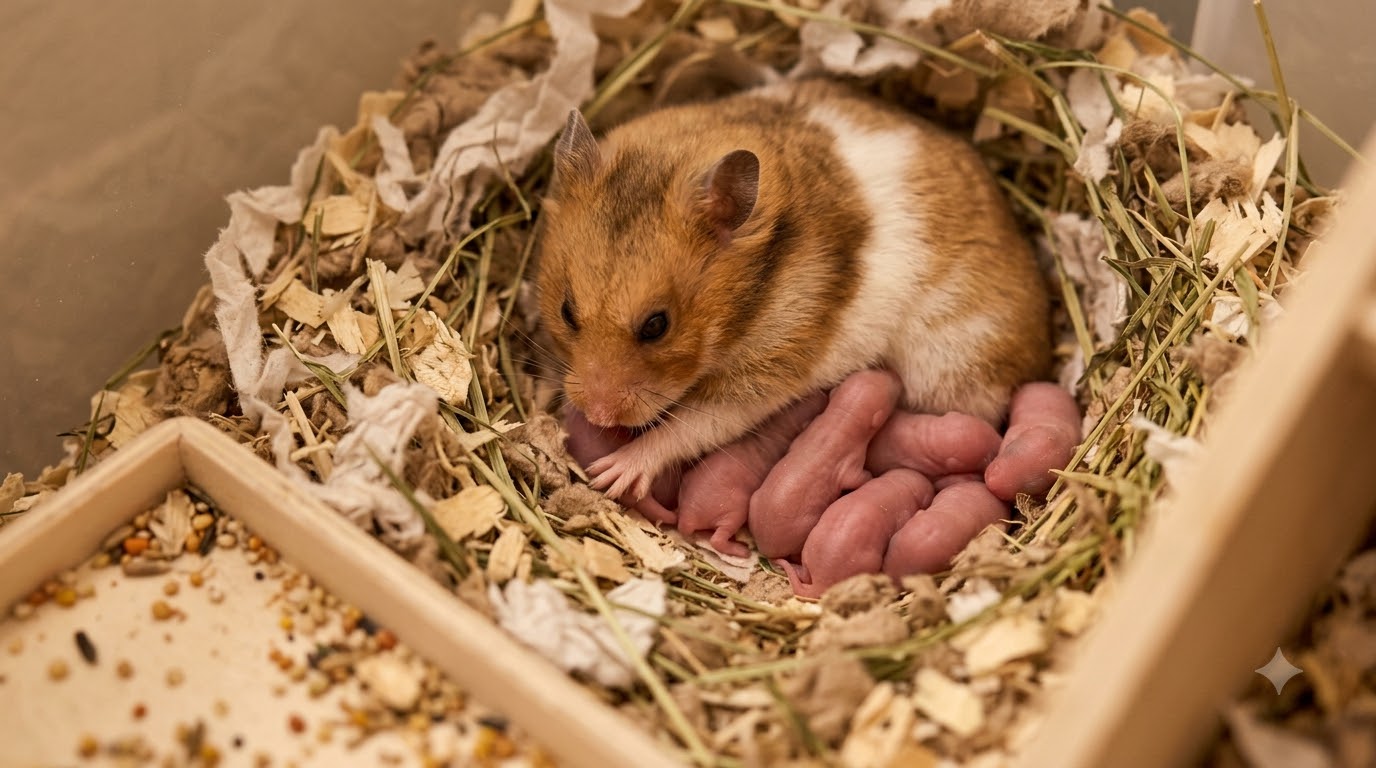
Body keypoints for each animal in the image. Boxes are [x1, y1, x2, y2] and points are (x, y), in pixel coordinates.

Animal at [536, 79, 1050, 502]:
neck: (752, 300)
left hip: (953, 367)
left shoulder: (764, 377)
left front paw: (612, 474)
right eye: (566, 312)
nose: (598, 417)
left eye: (657, 326)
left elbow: (691, 427)